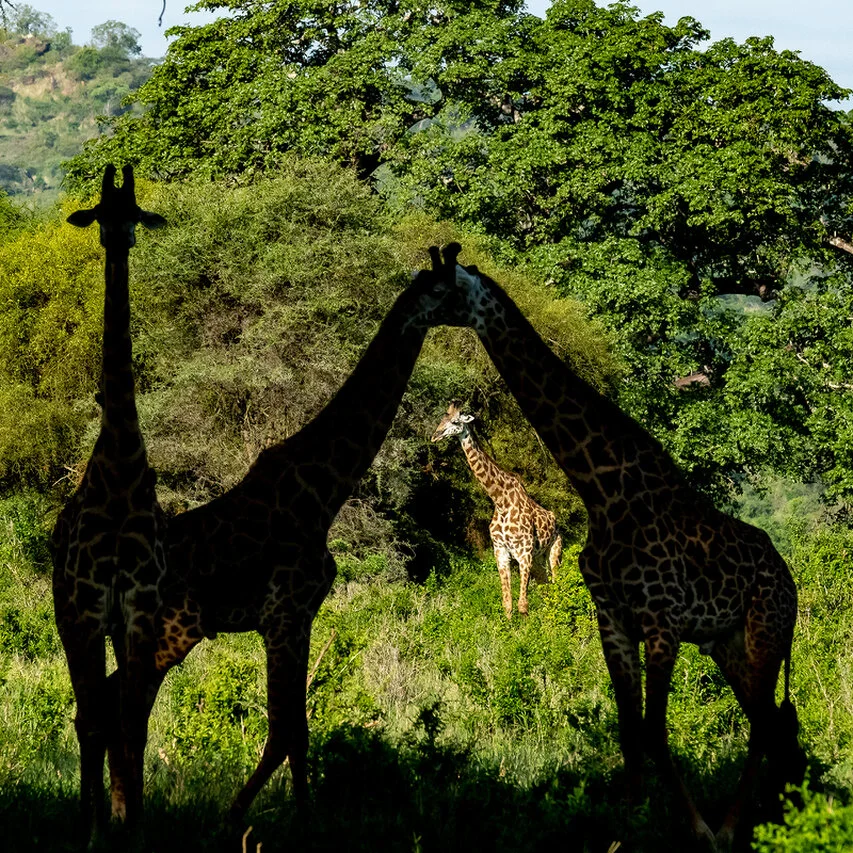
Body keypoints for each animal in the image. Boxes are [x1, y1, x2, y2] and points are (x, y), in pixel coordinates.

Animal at [98, 245, 475, 824]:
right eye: (450, 287)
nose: (480, 308)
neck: (326, 488)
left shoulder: (303, 617)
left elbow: (298, 731)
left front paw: (301, 817)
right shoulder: (283, 614)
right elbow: (283, 732)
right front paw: (242, 818)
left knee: (111, 706)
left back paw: (117, 812)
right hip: (172, 632)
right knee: (121, 709)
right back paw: (123, 816)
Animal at [431, 403, 562, 618]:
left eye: (456, 421)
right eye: (442, 419)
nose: (435, 435)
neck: (501, 501)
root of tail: (555, 521)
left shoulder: (523, 553)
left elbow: (523, 605)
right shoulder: (500, 552)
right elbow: (507, 604)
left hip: (553, 551)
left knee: (557, 582)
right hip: (537, 559)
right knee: (546, 586)